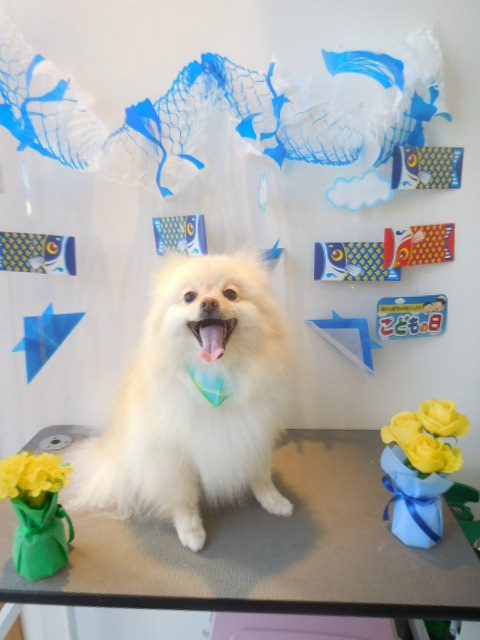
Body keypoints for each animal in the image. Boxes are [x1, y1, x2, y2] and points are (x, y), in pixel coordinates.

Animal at [68, 253, 294, 551]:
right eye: (189, 297)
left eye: (230, 293)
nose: (208, 303)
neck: (217, 377)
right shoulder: (173, 456)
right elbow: (183, 497)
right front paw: (191, 531)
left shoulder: (255, 433)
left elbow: (261, 474)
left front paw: (273, 500)